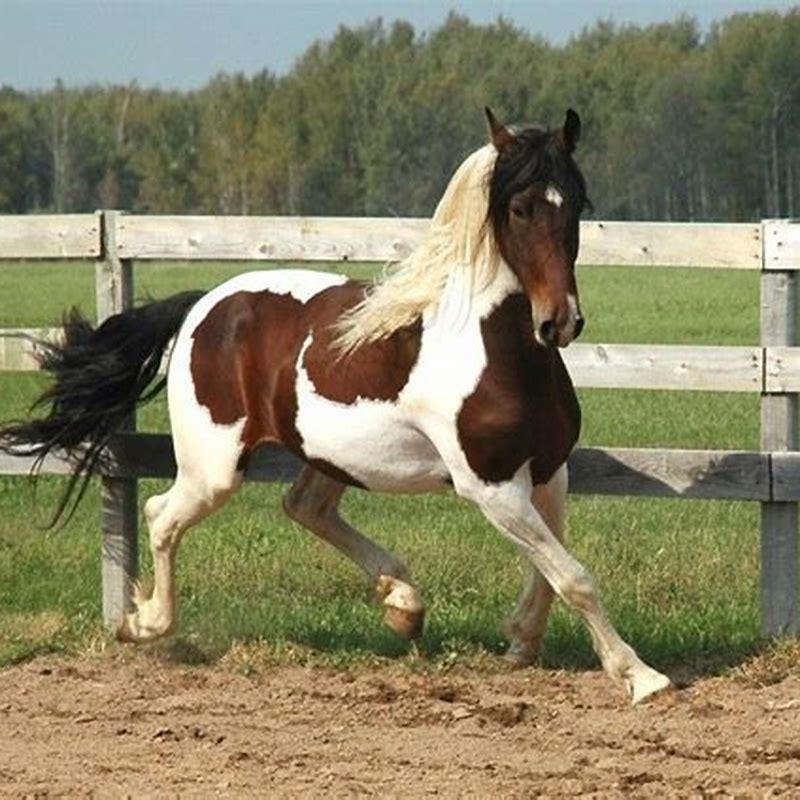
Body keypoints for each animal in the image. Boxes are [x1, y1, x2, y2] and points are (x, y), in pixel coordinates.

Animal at [1, 108, 671, 704]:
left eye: (577, 203)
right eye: (519, 207)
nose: (561, 322)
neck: (498, 351)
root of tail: (204, 304)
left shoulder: (547, 472)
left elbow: (551, 568)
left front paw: (520, 641)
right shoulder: (491, 487)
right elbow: (574, 575)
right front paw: (641, 677)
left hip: (332, 456)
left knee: (304, 507)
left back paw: (403, 603)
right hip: (214, 466)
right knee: (163, 513)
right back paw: (144, 623)